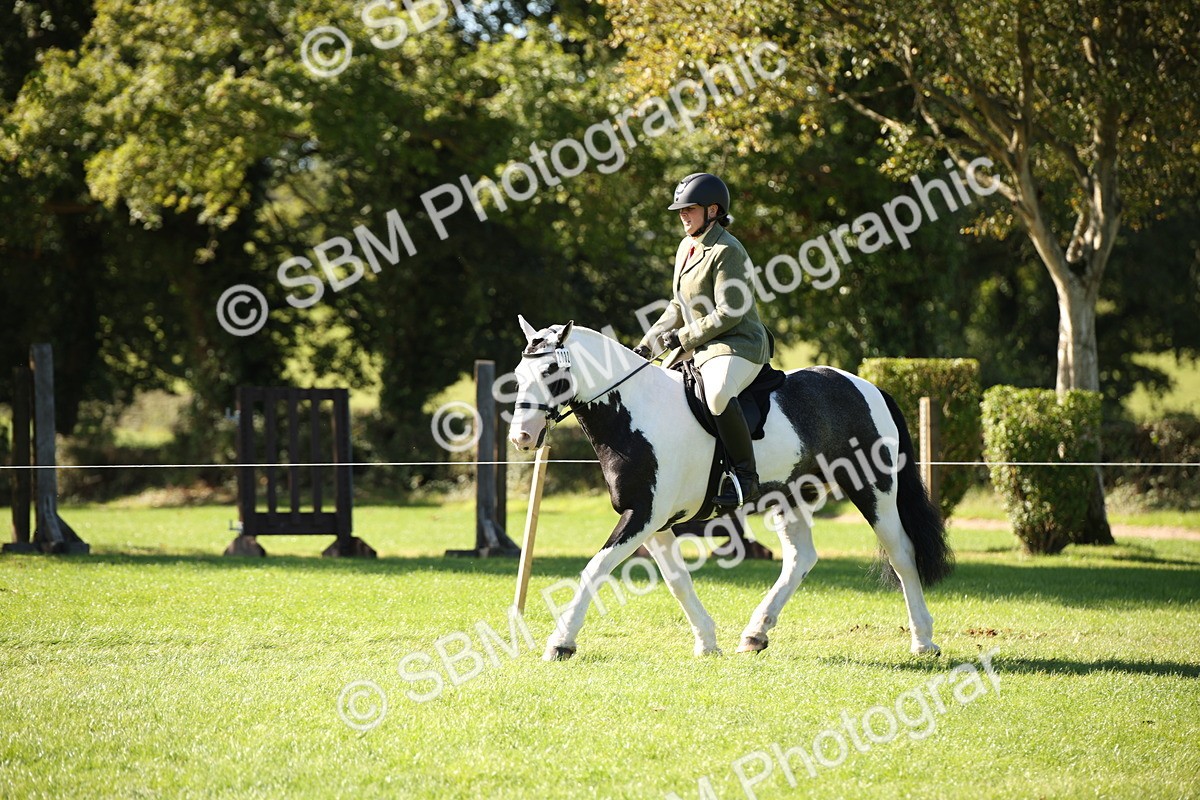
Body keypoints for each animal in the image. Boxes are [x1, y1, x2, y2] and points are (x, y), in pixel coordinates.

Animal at [507, 318, 953, 661]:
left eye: (550, 374)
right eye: (518, 376)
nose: (521, 438)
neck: (635, 412)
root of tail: (867, 386)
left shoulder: (643, 516)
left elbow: (595, 569)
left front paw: (561, 643)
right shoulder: (654, 521)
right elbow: (677, 580)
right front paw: (707, 642)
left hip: (873, 487)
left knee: (901, 553)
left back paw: (923, 641)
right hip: (789, 495)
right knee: (801, 558)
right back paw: (756, 633)